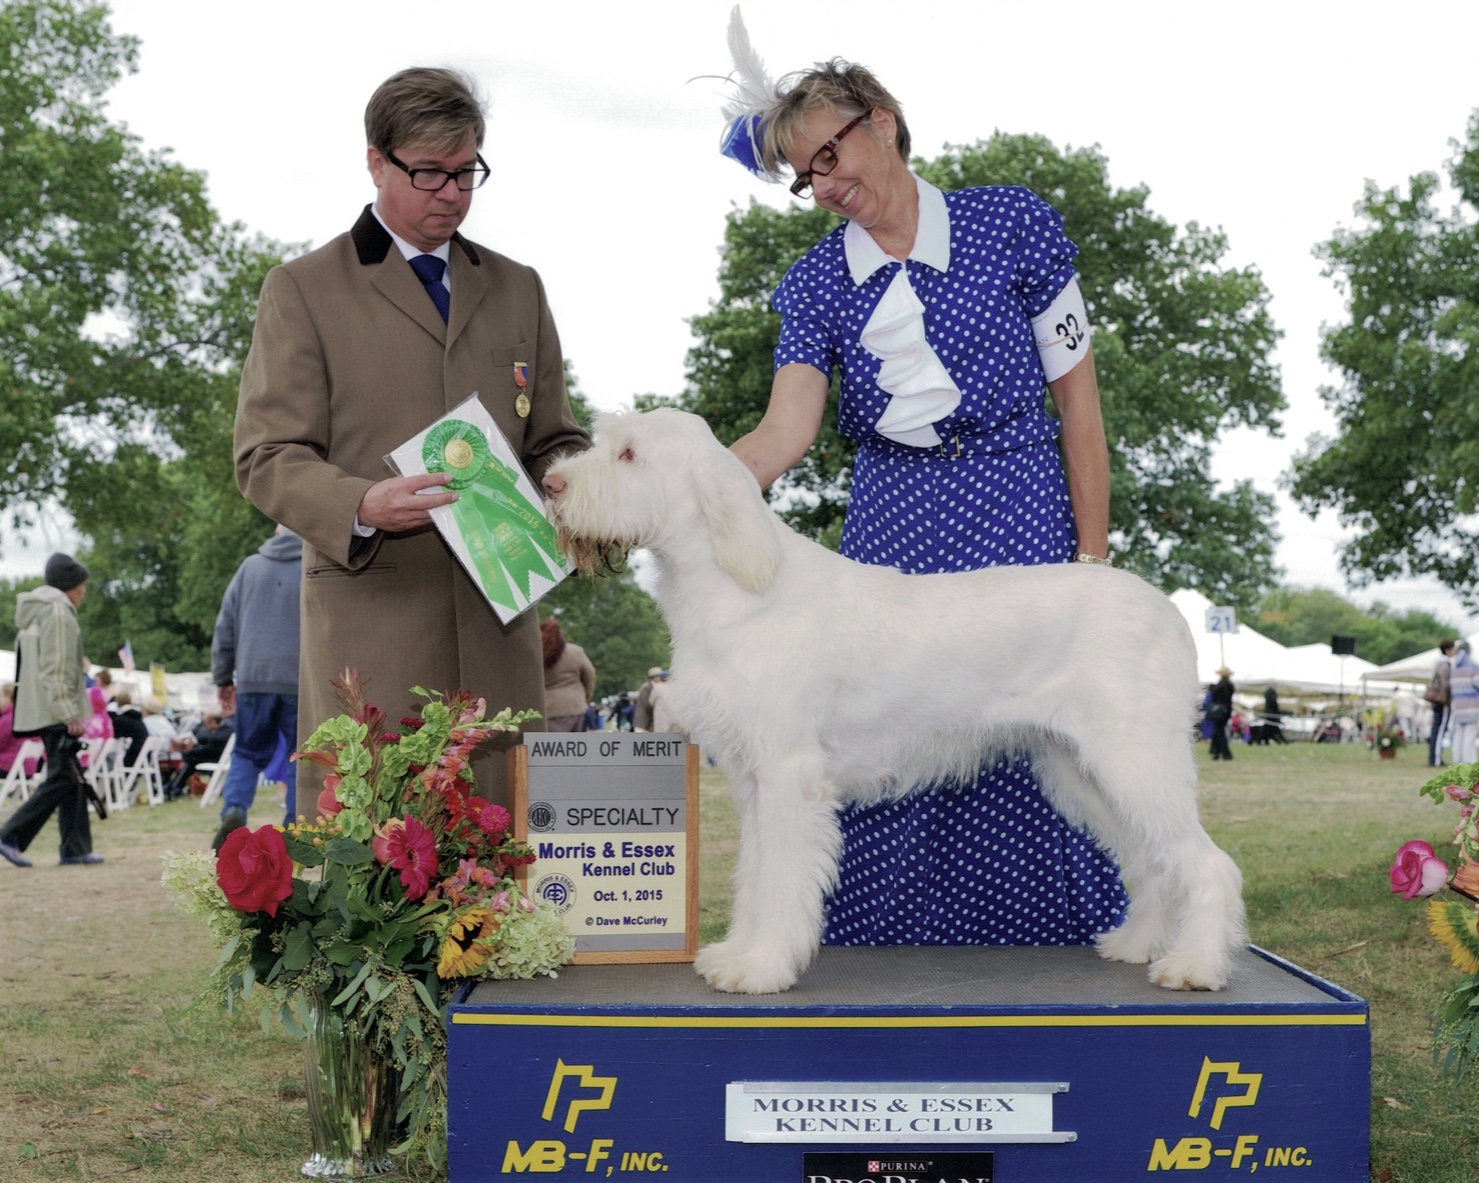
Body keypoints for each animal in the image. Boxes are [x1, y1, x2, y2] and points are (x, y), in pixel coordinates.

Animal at [538, 411, 1242, 993]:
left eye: (629, 453)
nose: (551, 483)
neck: (735, 586)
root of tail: (1169, 612)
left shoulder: (790, 777)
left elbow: (782, 879)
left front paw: (761, 968)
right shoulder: (752, 781)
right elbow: (754, 876)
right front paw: (737, 955)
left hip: (1134, 759)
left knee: (1206, 864)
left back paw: (1193, 966)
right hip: (1081, 770)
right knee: (1152, 860)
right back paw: (1137, 944)